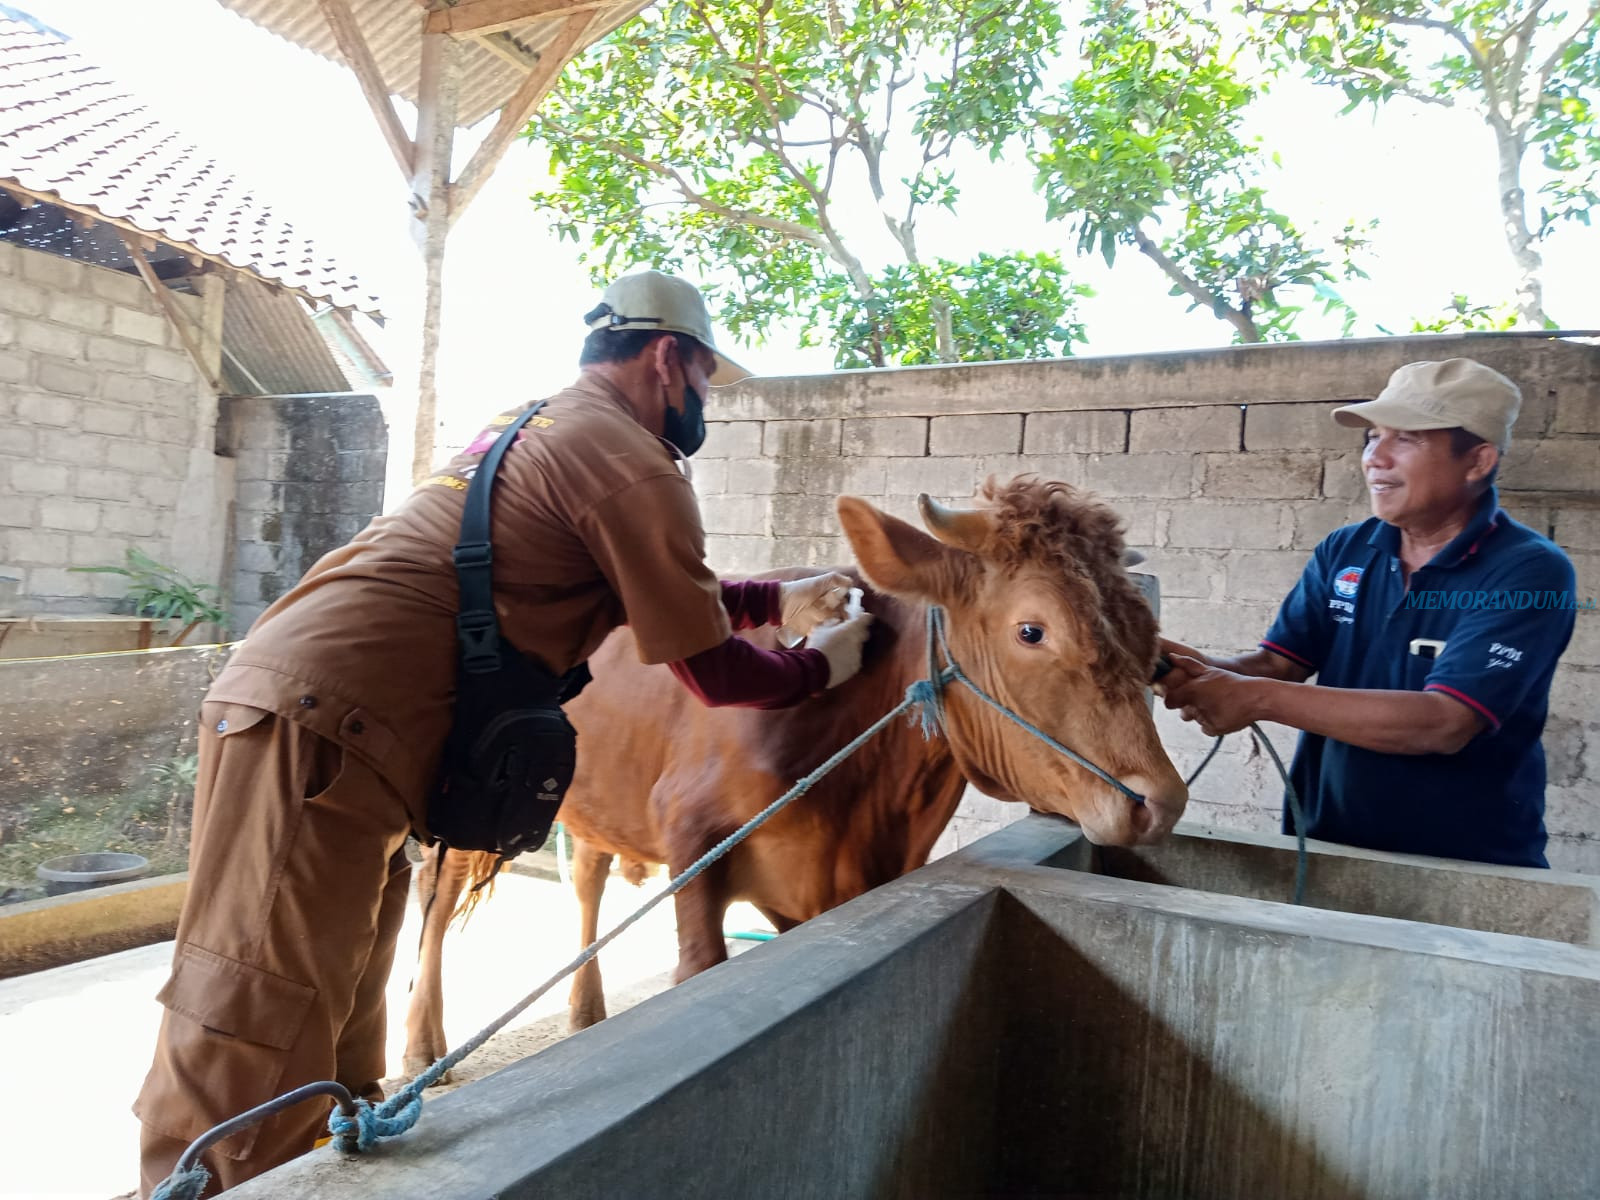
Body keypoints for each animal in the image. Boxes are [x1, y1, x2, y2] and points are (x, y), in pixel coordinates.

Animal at [406, 480, 1190, 1081]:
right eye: (1032, 630)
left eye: (1145, 626)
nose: (1161, 799)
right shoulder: (693, 842)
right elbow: (698, 966)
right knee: (437, 894)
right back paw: (419, 1047)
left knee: (589, 876)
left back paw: (585, 1009)